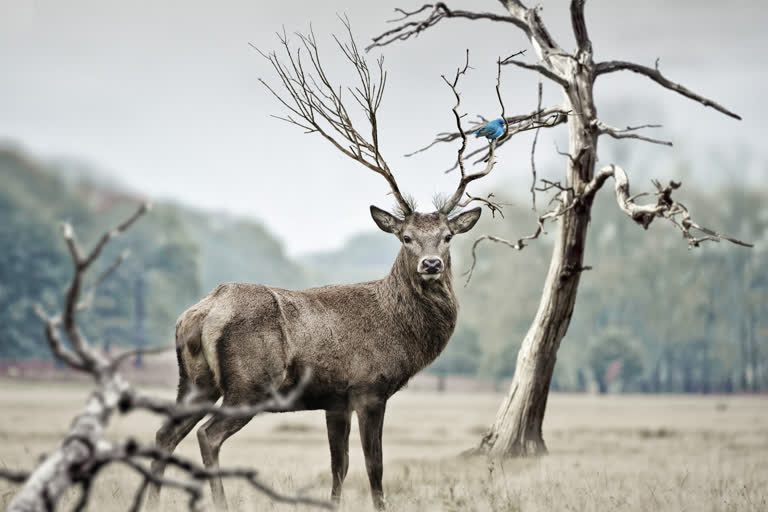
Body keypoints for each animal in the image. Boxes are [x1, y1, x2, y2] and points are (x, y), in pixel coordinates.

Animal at [147, 22, 500, 510]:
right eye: (406, 237)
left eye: (447, 237)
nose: (430, 264)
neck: (400, 331)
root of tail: (201, 312)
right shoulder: (369, 387)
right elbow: (374, 467)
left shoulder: (335, 399)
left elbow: (339, 467)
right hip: (249, 384)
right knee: (207, 436)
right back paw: (218, 500)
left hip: (195, 380)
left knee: (165, 433)